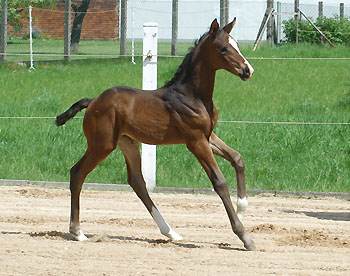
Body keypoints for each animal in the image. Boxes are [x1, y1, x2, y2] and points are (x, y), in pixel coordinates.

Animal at [56, 18, 256, 251]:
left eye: (237, 45)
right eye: (223, 48)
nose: (248, 70)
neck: (192, 95)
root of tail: (93, 101)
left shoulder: (208, 136)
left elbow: (237, 159)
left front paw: (242, 208)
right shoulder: (196, 141)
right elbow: (219, 182)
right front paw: (244, 236)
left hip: (127, 143)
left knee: (137, 181)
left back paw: (171, 232)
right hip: (102, 145)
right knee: (77, 173)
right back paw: (77, 232)